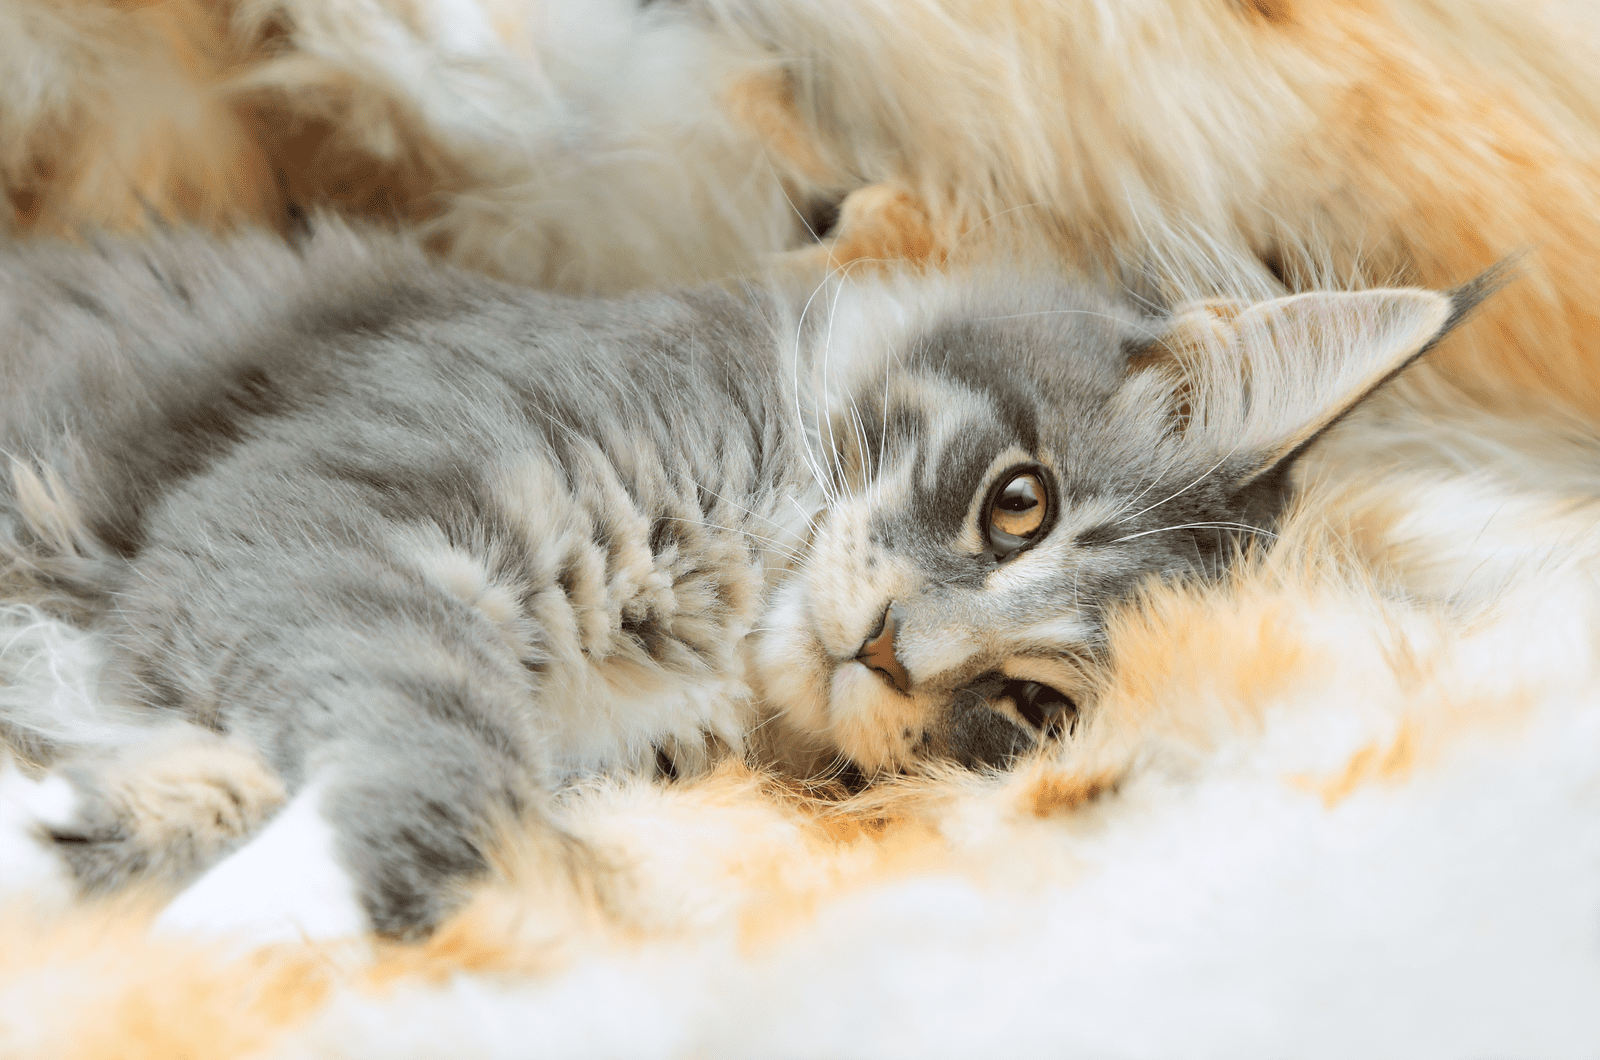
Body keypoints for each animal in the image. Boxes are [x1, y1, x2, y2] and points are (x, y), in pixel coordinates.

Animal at [0, 228, 1465, 941]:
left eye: (1034, 707)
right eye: (1019, 504)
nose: (893, 648)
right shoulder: (322, 514)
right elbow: (437, 746)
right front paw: (285, 901)